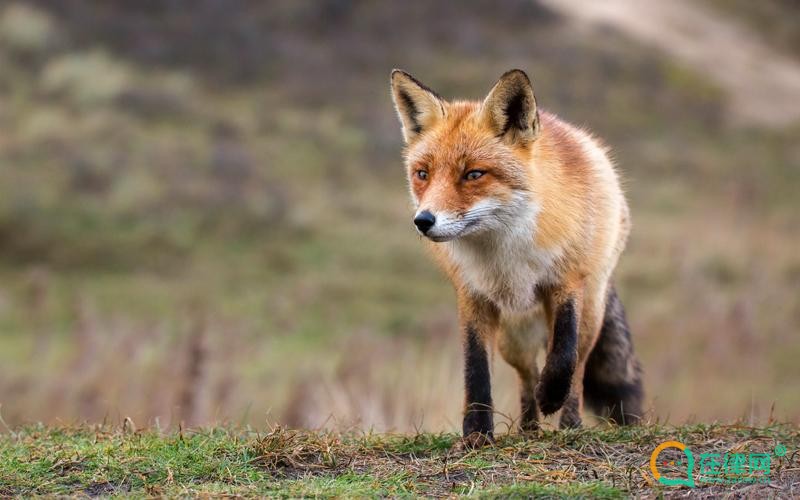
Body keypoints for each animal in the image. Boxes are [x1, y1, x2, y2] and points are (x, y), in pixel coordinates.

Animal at [388, 68, 644, 448]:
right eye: (423, 174)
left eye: (473, 174)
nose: (423, 221)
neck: (505, 256)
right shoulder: (473, 295)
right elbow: (476, 370)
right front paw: (477, 434)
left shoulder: (566, 282)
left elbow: (563, 356)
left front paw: (552, 397)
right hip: (514, 337)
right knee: (528, 374)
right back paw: (529, 428)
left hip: (591, 312)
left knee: (577, 368)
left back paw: (568, 423)